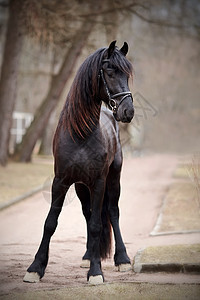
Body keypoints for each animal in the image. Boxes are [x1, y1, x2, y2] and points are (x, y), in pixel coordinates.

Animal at [24, 41, 135, 284]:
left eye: (127, 75)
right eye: (110, 72)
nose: (128, 111)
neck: (80, 134)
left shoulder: (99, 182)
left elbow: (96, 225)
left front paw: (95, 272)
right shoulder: (61, 181)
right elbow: (50, 223)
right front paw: (35, 268)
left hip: (113, 177)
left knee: (112, 212)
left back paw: (121, 259)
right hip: (81, 186)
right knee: (88, 213)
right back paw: (87, 255)